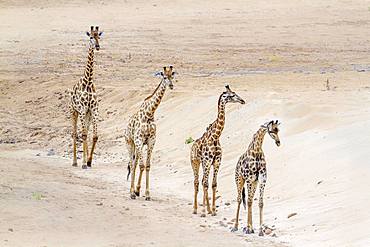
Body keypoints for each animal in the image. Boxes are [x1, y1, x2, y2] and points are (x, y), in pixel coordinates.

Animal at [124, 66, 176, 201]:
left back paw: (136, 190)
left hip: (139, 146)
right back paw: (131, 192)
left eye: (172, 76)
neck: (150, 113)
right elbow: (142, 166)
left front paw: (147, 194)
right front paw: (135, 192)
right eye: (164, 77)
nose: (171, 85)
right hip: (130, 143)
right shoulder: (138, 139)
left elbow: (147, 166)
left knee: (135, 163)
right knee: (132, 164)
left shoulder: (151, 141)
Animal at [191, 85, 246, 216]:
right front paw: (203, 211)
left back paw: (208, 209)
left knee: (202, 181)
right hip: (195, 162)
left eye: (235, 93)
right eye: (231, 95)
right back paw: (195, 209)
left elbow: (213, 184)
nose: (242, 100)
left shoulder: (216, 161)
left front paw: (213, 210)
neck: (215, 137)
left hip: (204, 164)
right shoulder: (207, 161)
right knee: (197, 182)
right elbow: (206, 184)